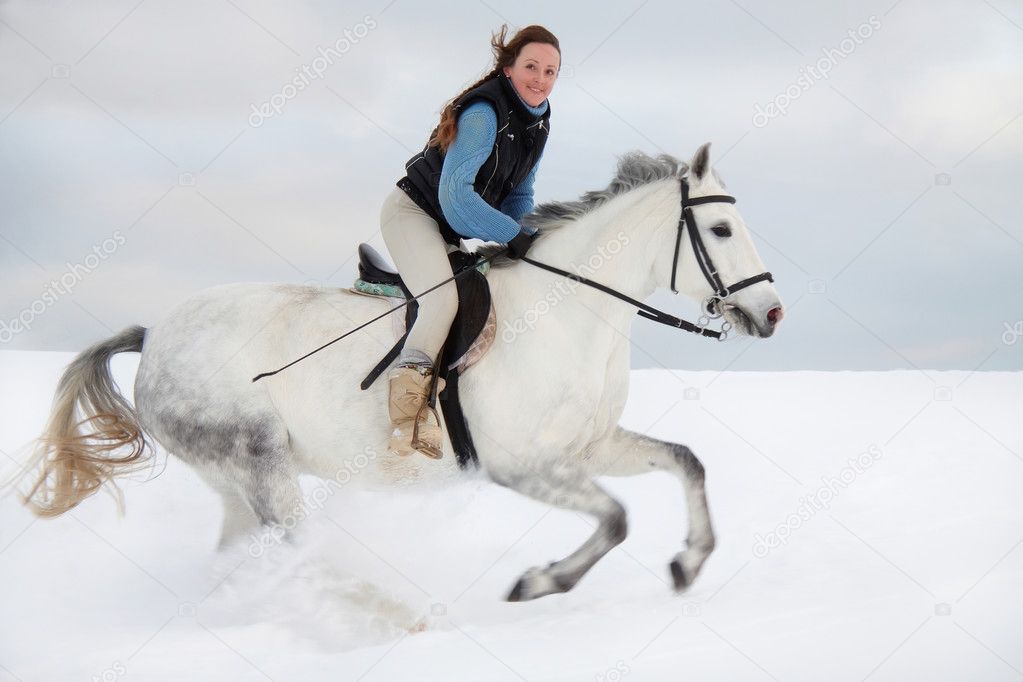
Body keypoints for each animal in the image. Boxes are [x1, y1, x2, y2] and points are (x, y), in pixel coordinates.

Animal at [18, 143, 783, 602]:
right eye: (720, 231)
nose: (771, 313)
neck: (567, 311)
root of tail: (155, 337)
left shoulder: (590, 447)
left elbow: (686, 461)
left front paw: (689, 561)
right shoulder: (521, 465)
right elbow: (617, 519)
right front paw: (539, 582)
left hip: (235, 484)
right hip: (261, 464)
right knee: (298, 551)